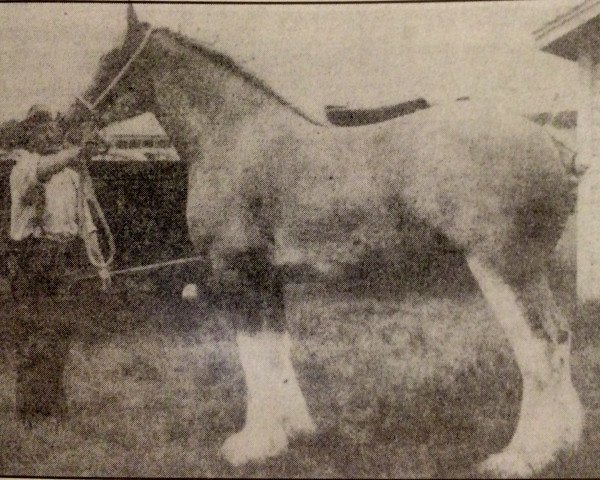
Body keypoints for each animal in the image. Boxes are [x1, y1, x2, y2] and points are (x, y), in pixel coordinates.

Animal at [64, 8, 580, 476]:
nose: (67, 120)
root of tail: (547, 140)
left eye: (110, 60)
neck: (236, 137)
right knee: (560, 337)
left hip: (500, 267)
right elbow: (276, 348)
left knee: (538, 347)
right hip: (525, 270)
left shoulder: (236, 270)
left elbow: (252, 355)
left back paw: (521, 456)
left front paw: (253, 443)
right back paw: (563, 441)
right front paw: (293, 431)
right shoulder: (268, 275)